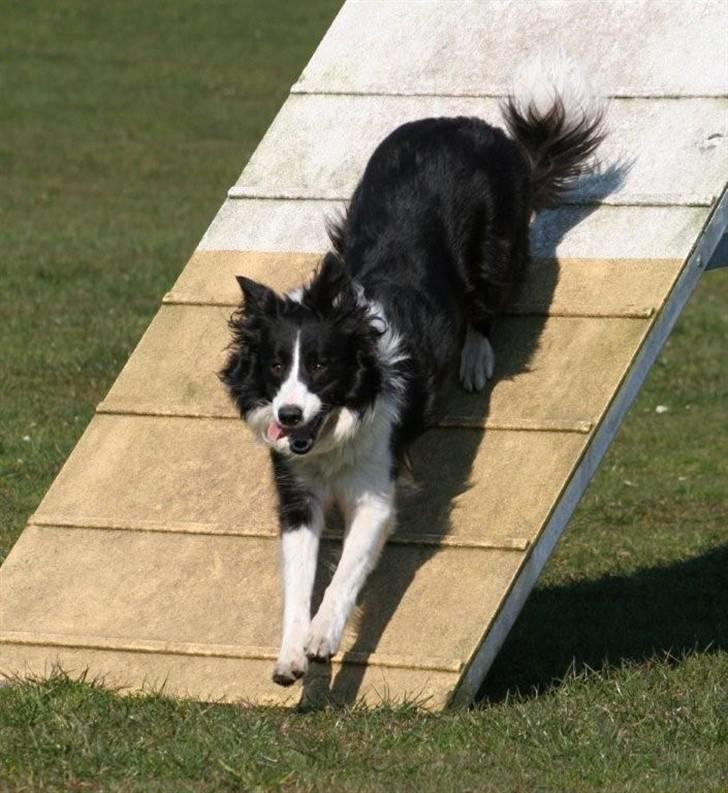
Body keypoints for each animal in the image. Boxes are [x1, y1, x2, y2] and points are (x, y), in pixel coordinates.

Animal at [220, 55, 604, 688]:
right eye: (277, 366)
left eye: (321, 365)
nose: (289, 415)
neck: (333, 432)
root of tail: (465, 124)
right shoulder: (297, 497)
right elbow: (298, 582)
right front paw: (292, 652)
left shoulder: (376, 492)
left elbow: (347, 571)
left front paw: (324, 636)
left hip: (493, 252)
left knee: (486, 305)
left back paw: (476, 357)